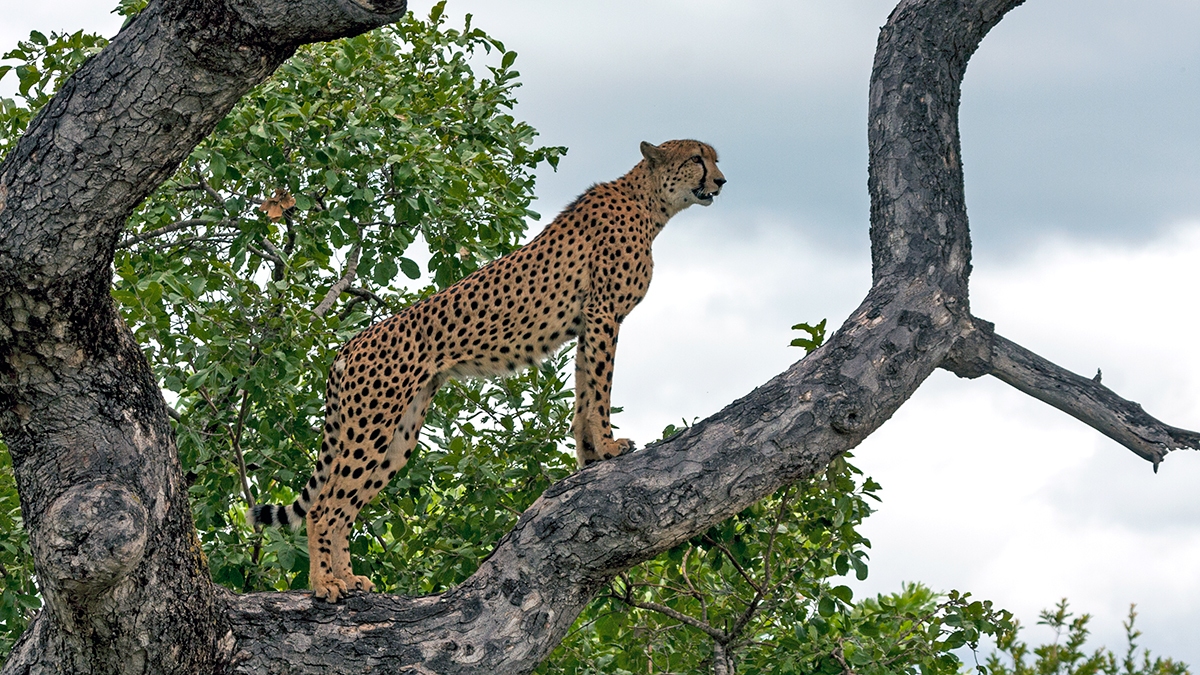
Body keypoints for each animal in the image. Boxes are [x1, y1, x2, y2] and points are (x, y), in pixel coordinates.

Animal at [249, 139, 725, 602]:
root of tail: (349, 344)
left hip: (396, 438)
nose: (721, 181)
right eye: (696, 158)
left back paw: (349, 579)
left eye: (713, 158)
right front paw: (610, 446)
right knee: (323, 508)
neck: (649, 201)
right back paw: (323, 585)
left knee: (343, 507)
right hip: (371, 425)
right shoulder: (603, 313)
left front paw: (589, 458)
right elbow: (601, 390)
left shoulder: (588, 323)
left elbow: (584, 393)